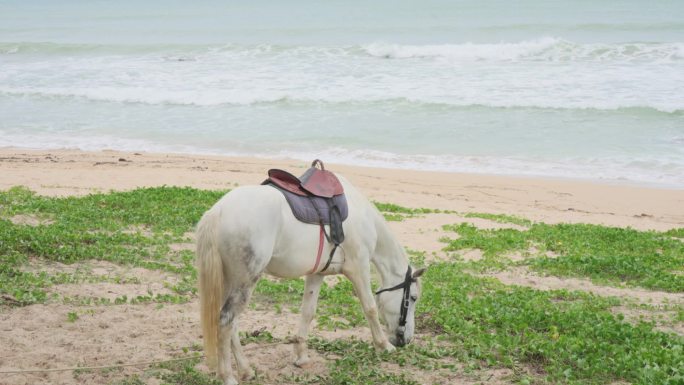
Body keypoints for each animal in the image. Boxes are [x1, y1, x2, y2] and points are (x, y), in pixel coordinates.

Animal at [195, 175, 424, 384]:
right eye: (412, 298)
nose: (406, 340)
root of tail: (218, 211)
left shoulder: (317, 274)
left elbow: (308, 313)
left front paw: (301, 357)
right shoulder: (359, 268)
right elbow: (370, 308)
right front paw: (384, 345)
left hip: (230, 280)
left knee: (230, 323)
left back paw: (245, 370)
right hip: (245, 281)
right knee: (226, 321)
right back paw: (227, 376)